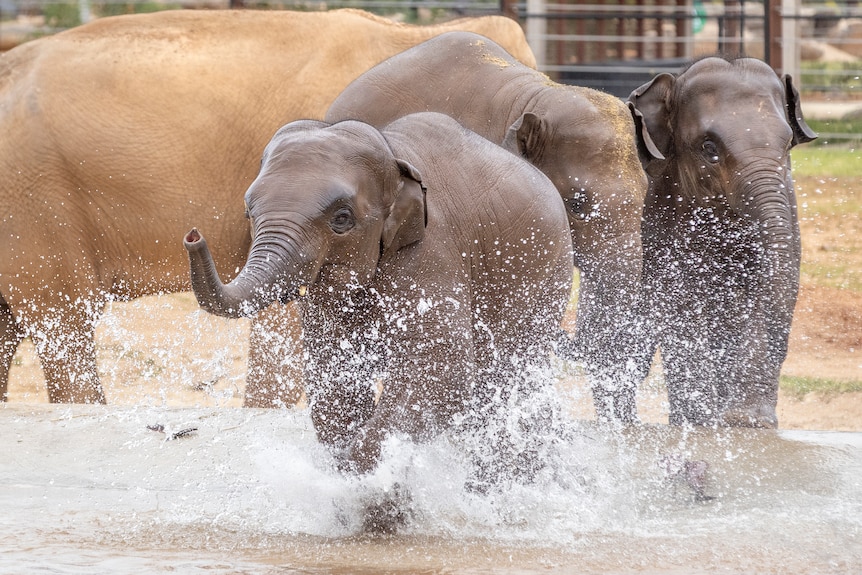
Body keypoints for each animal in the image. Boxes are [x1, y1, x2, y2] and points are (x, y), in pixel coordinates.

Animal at [183, 112, 574, 474]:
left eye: (342, 219)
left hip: (549, 274)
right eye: (249, 213)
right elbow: (334, 372)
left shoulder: (431, 251)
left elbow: (440, 367)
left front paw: (361, 481)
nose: (192, 235)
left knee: (512, 375)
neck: (393, 155)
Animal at [622, 56, 817, 427]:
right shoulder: (664, 217)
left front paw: (748, 422)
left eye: (787, 145)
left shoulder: (789, 212)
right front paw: (701, 422)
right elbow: (678, 301)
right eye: (709, 149)